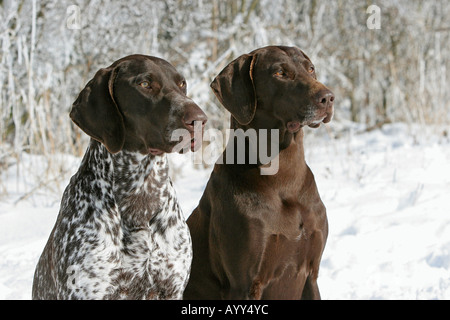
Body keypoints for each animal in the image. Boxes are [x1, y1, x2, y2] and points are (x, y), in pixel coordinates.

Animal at [32, 55, 207, 300]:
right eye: (145, 84)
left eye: (182, 84)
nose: (200, 119)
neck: (142, 192)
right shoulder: (89, 291)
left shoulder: (171, 288)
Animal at [184, 45, 334, 300]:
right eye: (280, 73)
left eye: (311, 68)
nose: (328, 97)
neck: (284, 180)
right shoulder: (244, 284)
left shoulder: (311, 275)